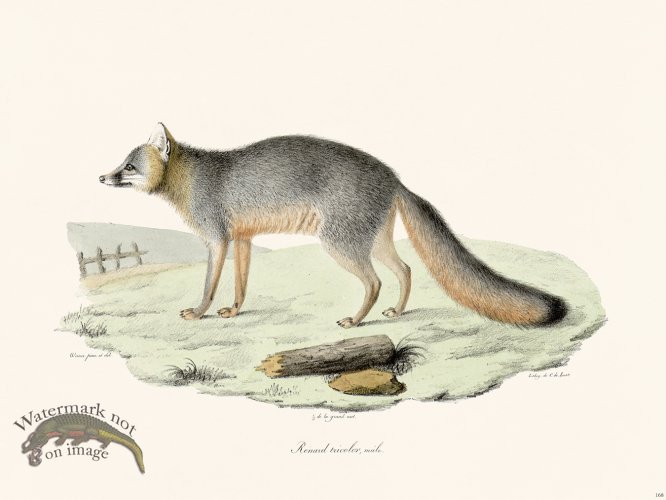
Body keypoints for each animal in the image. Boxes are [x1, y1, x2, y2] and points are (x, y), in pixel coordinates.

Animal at [99, 123, 567, 329]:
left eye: (128, 167)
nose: (102, 177)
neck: (193, 177)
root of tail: (393, 176)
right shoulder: (243, 239)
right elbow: (240, 284)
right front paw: (233, 310)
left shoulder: (217, 240)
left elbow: (209, 284)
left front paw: (199, 312)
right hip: (373, 242)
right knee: (406, 270)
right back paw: (397, 311)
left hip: (340, 243)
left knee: (376, 281)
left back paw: (357, 321)